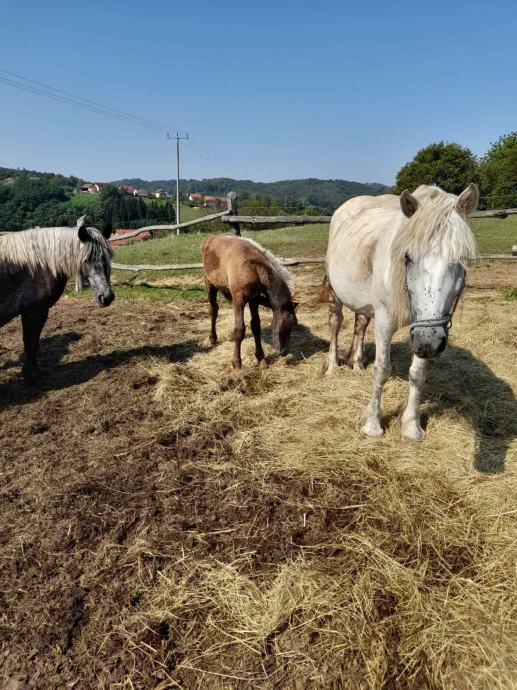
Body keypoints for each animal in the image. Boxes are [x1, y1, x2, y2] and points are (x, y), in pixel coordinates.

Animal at [0, 215, 114, 383]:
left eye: (107, 257)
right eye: (87, 260)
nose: (107, 297)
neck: (38, 265)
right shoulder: (33, 311)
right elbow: (31, 343)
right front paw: (31, 376)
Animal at [201, 234, 297, 369]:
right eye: (290, 324)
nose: (284, 352)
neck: (253, 267)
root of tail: (209, 238)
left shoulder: (253, 299)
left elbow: (256, 326)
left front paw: (261, 358)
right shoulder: (238, 300)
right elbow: (239, 329)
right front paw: (237, 363)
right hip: (210, 285)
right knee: (213, 310)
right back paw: (212, 339)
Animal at [324, 183, 479, 441]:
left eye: (461, 260)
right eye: (408, 258)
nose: (429, 343)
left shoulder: (422, 329)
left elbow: (417, 373)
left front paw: (411, 427)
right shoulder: (385, 321)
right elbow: (382, 369)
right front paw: (373, 425)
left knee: (360, 323)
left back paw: (357, 363)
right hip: (337, 294)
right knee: (336, 322)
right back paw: (332, 367)